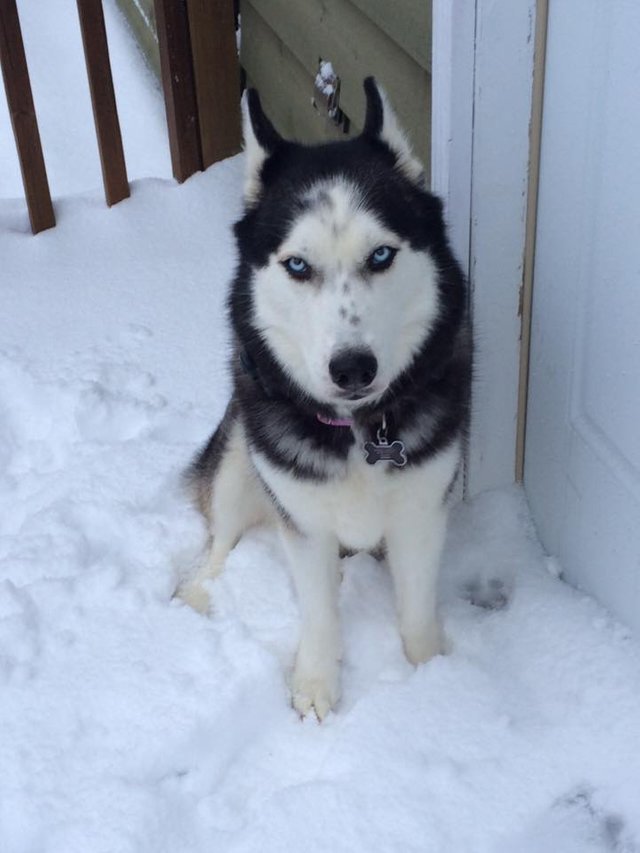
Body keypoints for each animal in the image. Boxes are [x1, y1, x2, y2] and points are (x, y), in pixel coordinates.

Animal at [180, 80, 470, 720]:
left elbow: (416, 610)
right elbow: (317, 616)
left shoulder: (421, 511)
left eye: (381, 255)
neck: (361, 430)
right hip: (239, 454)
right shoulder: (303, 521)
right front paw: (315, 685)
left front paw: (433, 680)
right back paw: (198, 591)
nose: (352, 367)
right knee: (220, 540)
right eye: (297, 265)